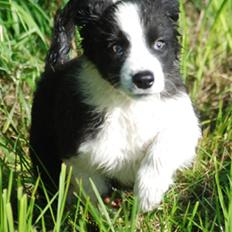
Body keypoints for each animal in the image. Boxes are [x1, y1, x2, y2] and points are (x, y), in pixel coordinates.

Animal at [29, 0, 201, 212]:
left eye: (159, 44)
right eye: (115, 48)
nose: (144, 79)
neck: (128, 104)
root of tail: (54, 68)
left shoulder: (183, 119)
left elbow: (164, 144)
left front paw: (148, 193)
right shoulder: (78, 150)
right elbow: (92, 188)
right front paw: (102, 213)